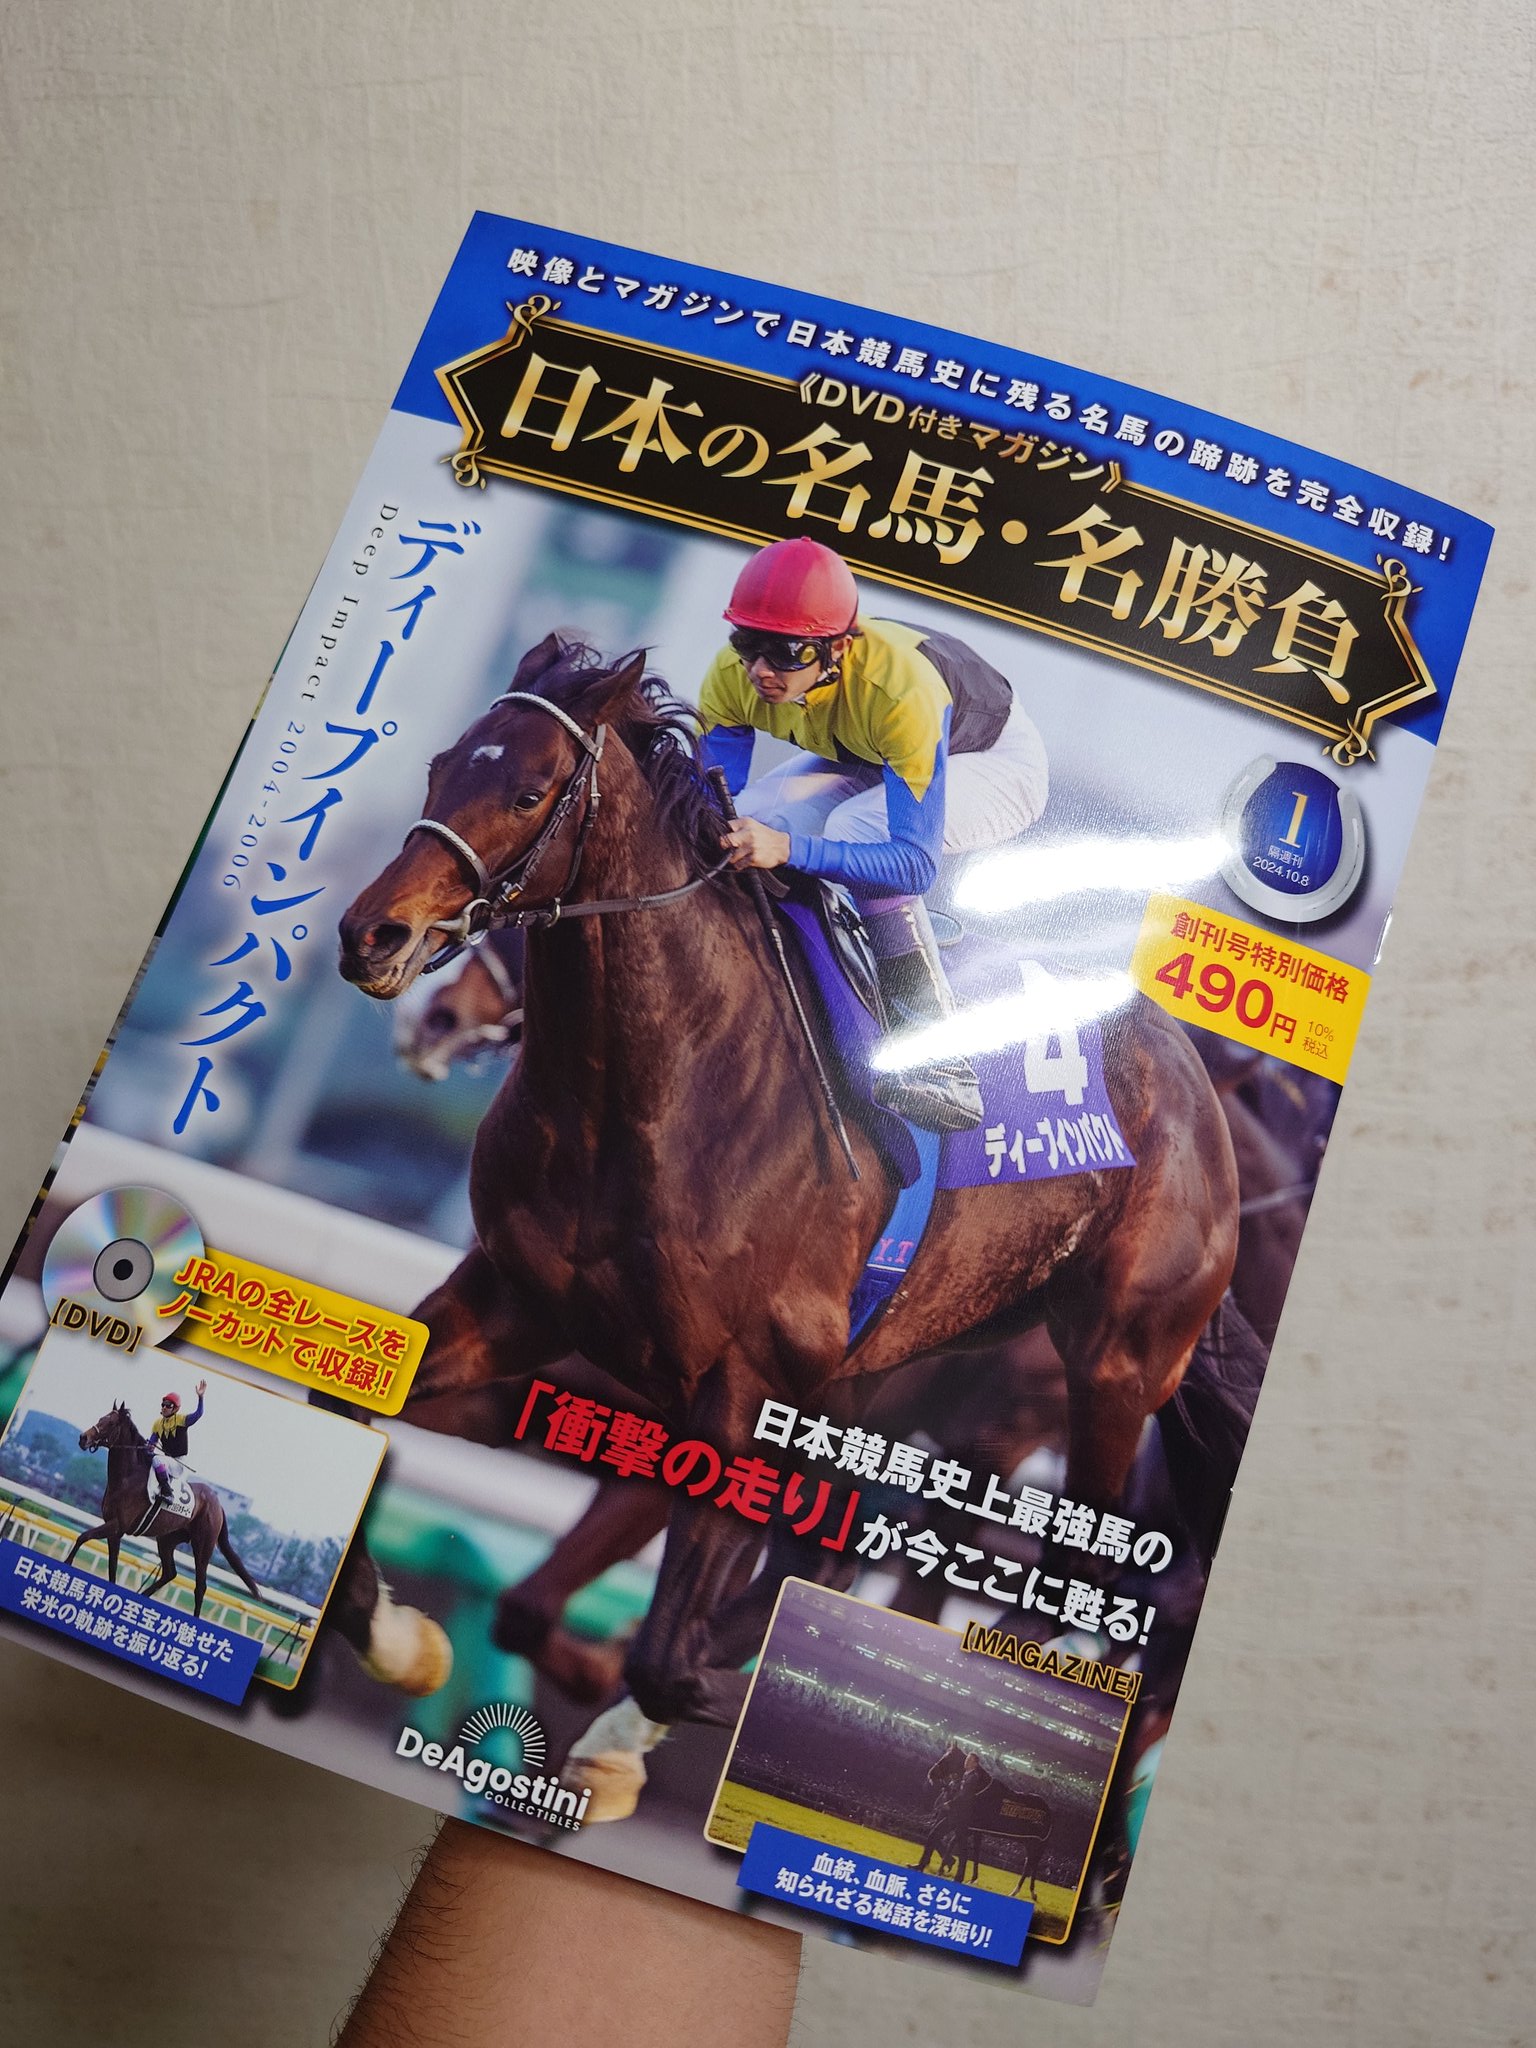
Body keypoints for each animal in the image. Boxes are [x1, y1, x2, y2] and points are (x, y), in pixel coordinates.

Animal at [68, 1402, 261, 1618]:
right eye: (101, 1418)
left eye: (110, 1423)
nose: (83, 1438)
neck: (128, 1478)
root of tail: (218, 1505)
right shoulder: (115, 1531)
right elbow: (112, 1565)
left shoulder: (116, 1525)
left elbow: (83, 1537)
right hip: (167, 1540)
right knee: (170, 1573)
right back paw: (141, 1597)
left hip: (203, 1547)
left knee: (200, 1587)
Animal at [333, 632, 1242, 1819]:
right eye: (442, 765)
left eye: (530, 789)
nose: (373, 937)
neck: (657, 1086)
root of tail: (1195, 1080)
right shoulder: (519, 1303)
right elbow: (351, 1409)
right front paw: (405, 1641)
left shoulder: (742, 1382)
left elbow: (672, 1654)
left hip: (1113, 1372)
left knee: (1073, 1582)